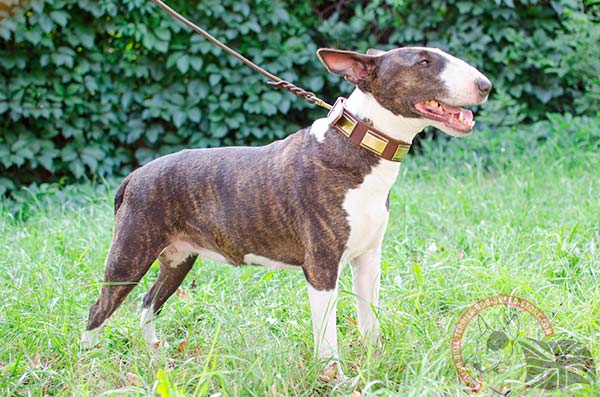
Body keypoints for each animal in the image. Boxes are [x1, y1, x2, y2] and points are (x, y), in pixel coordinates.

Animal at [81, 47, 492, 378]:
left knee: (149, 302)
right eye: (423, 61)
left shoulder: (368, 259)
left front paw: (376, 364)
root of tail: (134, 176)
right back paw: (89, 363)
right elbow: (327, 335)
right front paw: (336, 380)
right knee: (98, 309)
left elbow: (369, 321)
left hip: (179, 258)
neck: (360, 144)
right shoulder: (321, 267)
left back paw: (156, 356)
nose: (485, 85)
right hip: (131, 253)